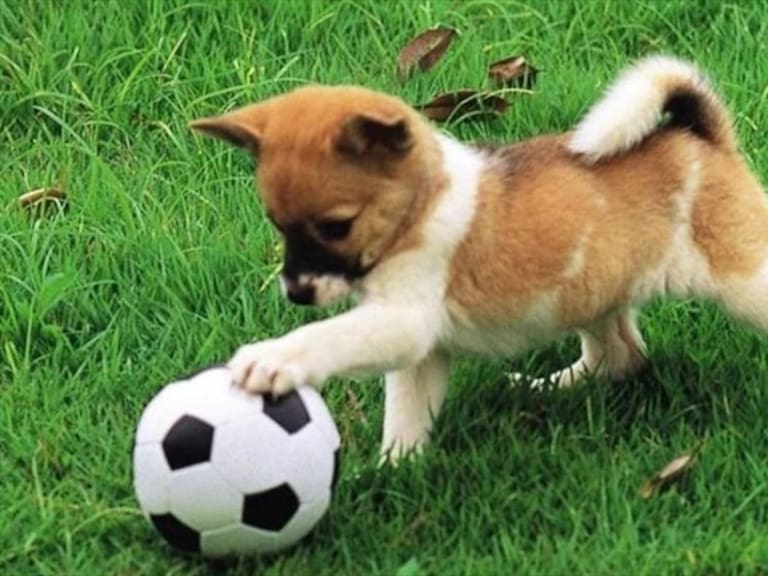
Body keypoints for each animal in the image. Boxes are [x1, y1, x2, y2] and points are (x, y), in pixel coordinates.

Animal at [190, 57, 768, 460]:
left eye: (337, 227)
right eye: (277, 224)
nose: (296, 293)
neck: (421, 205)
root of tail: (703, 137)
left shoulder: (403, 323)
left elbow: (330, 337)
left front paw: (274, 359)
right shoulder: (419, 352)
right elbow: (405, 417)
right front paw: (395, 471)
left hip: (742, 279)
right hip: (590, 290)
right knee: (620, 355)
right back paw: (549, 387)